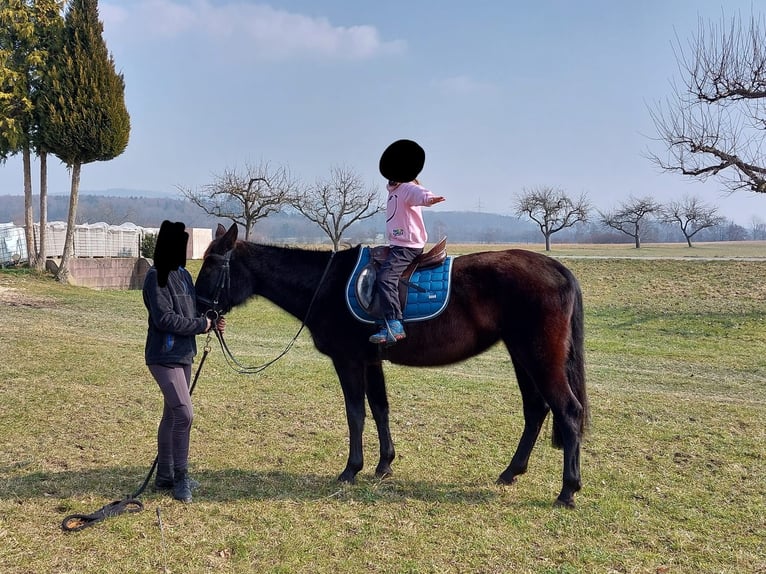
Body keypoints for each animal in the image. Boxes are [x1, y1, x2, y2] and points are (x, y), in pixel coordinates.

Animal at [195, 224, 592, 508]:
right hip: (522, 355)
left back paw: (567, 491)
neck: (325, 285)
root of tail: (557, 268)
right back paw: (510, 473)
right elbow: (380, 408)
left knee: (568, 411)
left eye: (213, 265)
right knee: (536, 409)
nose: (200, 310)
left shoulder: (349, 361)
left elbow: (355, 412)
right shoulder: (371, 361)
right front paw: (384, 464)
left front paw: (351, 469)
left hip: (538, 356)